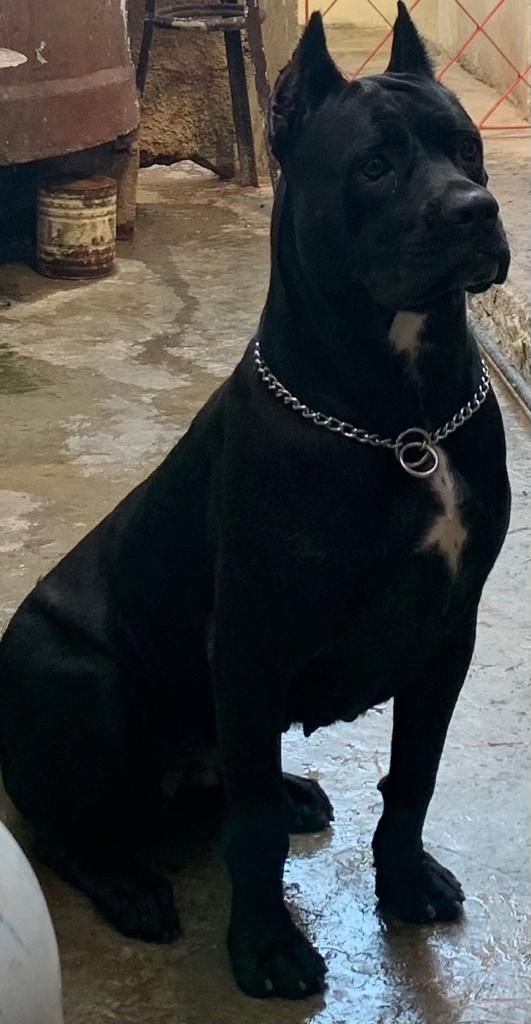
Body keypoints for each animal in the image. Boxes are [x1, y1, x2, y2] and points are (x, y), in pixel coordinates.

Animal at [0, 4, 511, 1003]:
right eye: (374, 166)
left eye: (468, 150)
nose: (475, 209)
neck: (402, 419)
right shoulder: (249, 641)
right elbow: (252, 834)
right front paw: (266, 947)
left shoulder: (448, 633)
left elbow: (414, 773)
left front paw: (403, 881)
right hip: (75, 676)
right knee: (69, 829)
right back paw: (131, 885)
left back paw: (294, 789)